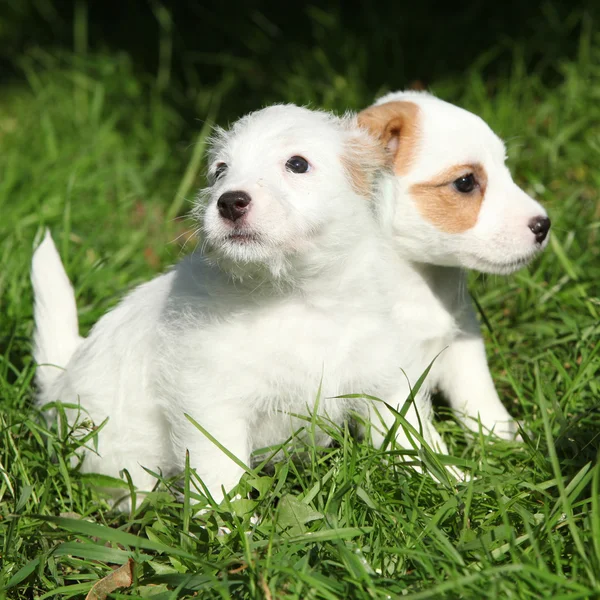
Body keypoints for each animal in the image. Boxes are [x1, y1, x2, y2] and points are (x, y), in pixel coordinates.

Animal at [358, 92, 552, 440]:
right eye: (465, 182)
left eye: (505, 168)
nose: (544, 225)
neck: (418, 280)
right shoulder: (387, 385)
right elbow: (414, 438)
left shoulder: (464, 342)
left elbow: (480, 399)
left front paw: (507, 440)